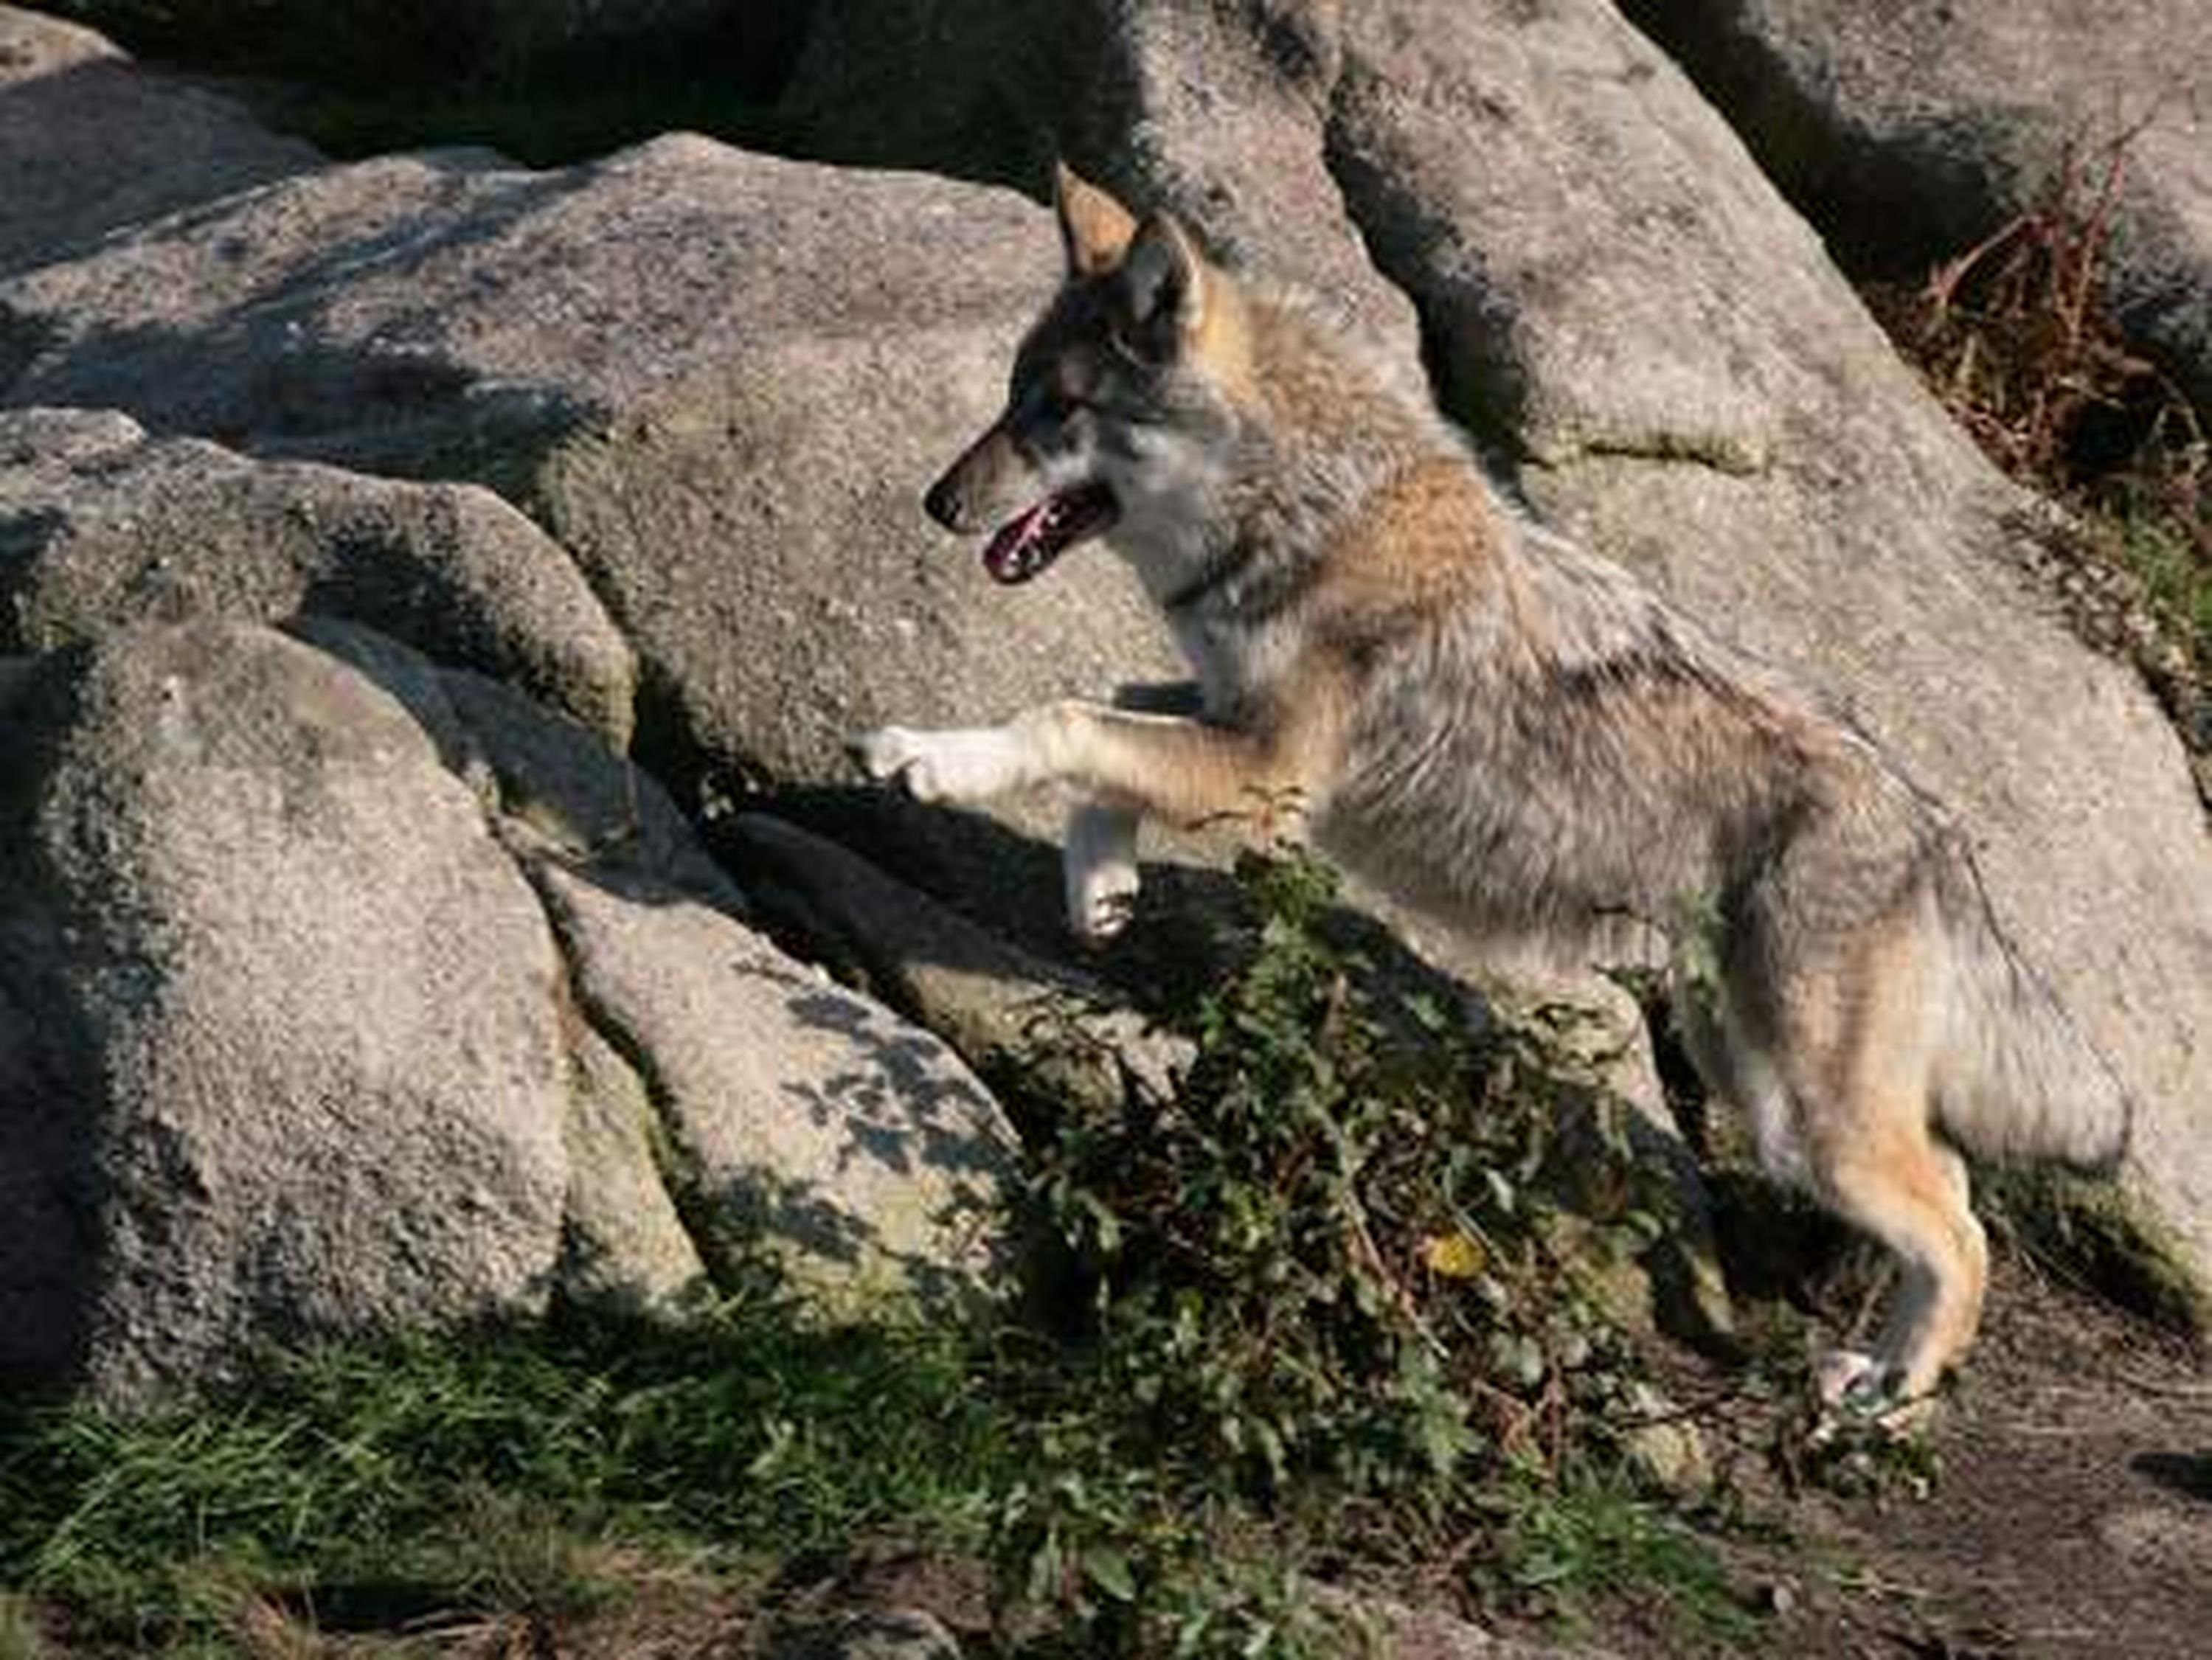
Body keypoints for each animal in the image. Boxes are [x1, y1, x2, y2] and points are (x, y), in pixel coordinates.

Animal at [856, 164, 2133, 1420]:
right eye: (1011, 396)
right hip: (1755, 1080)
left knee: (1960, 1232)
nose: (932, 503)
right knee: (1953, 1189)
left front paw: (928, 757)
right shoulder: (1228, 722)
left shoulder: (1267, 774)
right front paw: (1102, 887)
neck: (1302, 506)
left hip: (1805, 1118)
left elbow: (1063, 717)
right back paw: (1881, 1375)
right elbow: (1105, 716)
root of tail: (1932, 827)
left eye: (1056, 410)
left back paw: (1888, 1399)